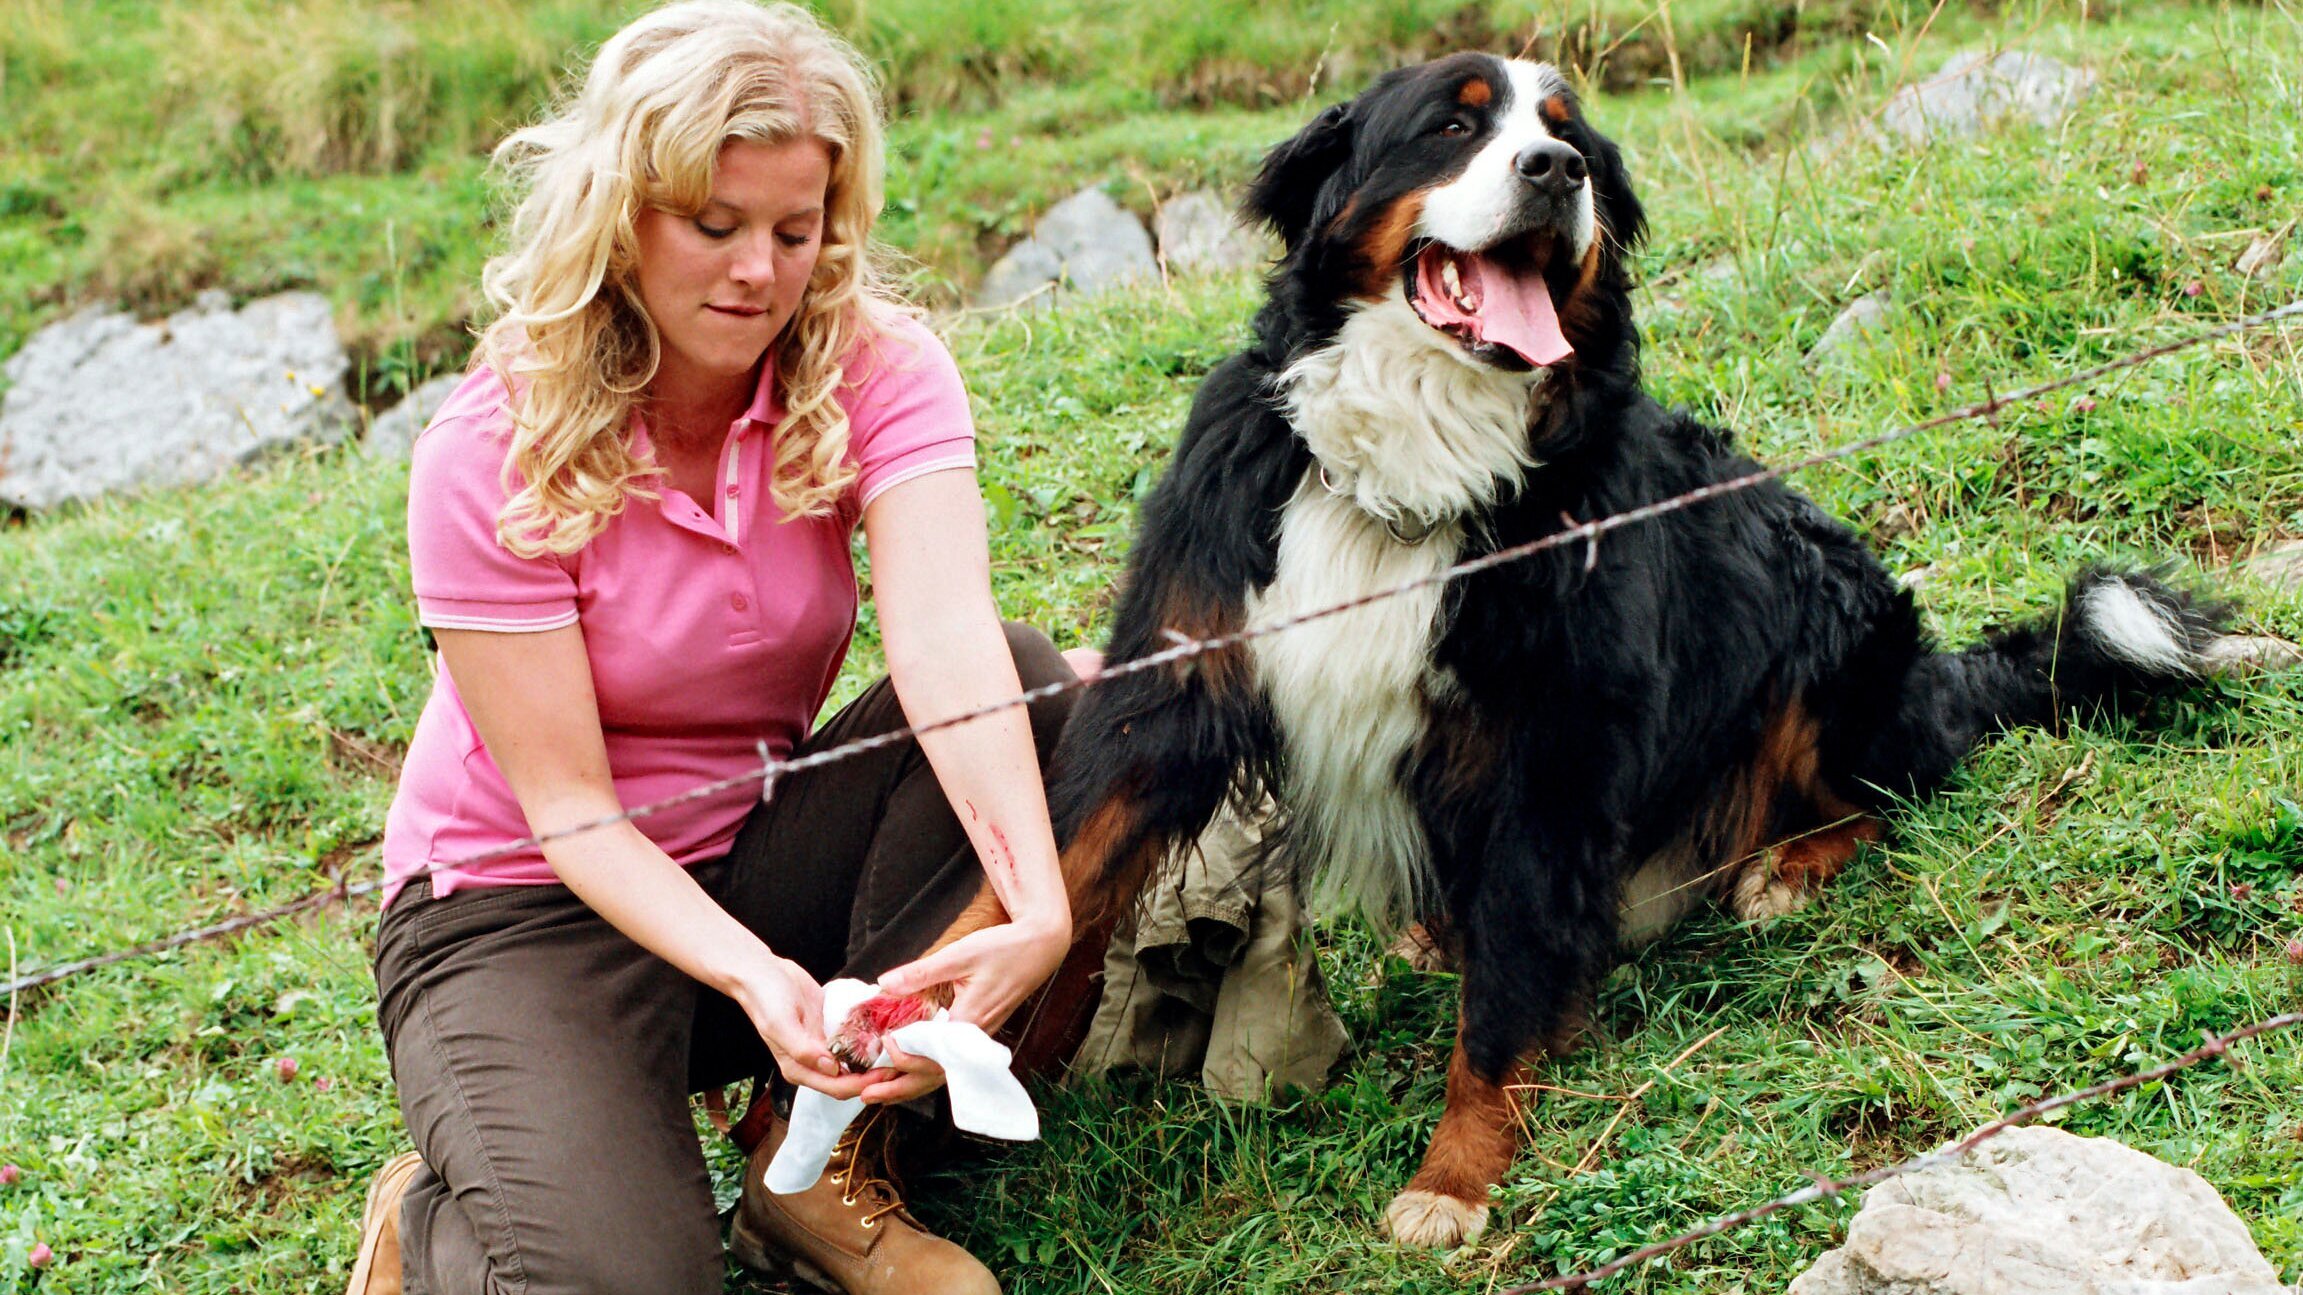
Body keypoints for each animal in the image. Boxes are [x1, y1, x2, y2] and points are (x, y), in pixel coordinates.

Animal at [911, 52, 2229, 1253]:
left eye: (1568, 134)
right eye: (1452, 125)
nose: (1556, 172)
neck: (1414, 463)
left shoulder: (1554, 737)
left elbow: (1504, 992)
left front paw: (1454, 1177)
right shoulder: (1183, 666)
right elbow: (1065, 848)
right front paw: (927, 999)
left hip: (1825, 620)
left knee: (1883, 784)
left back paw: (1784, 866)